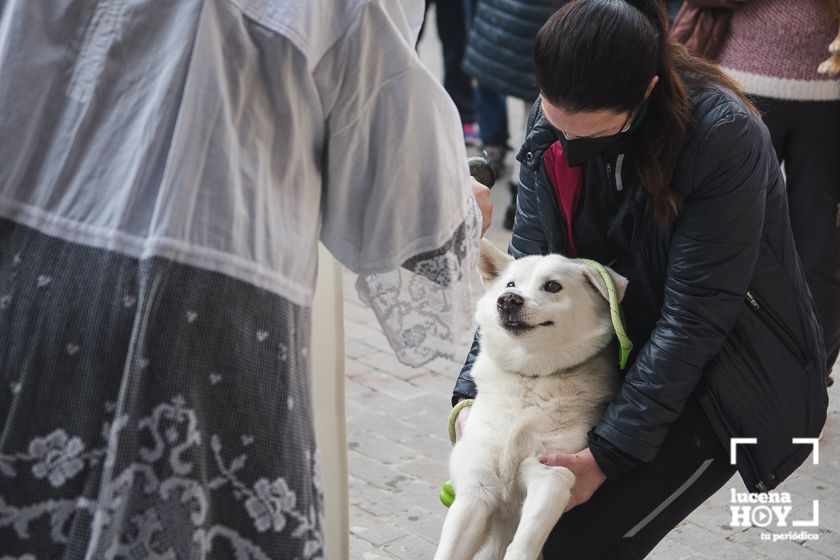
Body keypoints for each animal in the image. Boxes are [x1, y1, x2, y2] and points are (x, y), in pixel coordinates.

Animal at [436, 240, 628, 560]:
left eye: (552, 286)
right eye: (510, 284)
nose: (508, 300)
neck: (530, 378)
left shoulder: (552, 475)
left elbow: (523, 545)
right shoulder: (476, 489)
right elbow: (448, 551)